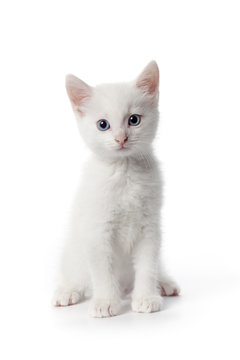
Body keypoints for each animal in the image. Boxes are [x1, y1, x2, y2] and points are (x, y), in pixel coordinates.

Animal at [53, 62, 180, 318]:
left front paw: (146, 297)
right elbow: (102, 270)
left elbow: (147, 266)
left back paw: (164, 283)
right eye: (103, 125)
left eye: (134, 119)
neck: (124, 171)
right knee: (76, 275)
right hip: (73, 252)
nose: (121, 138)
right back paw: (68, 291)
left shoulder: (149, 227)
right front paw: (104, 301)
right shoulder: (97, 229)